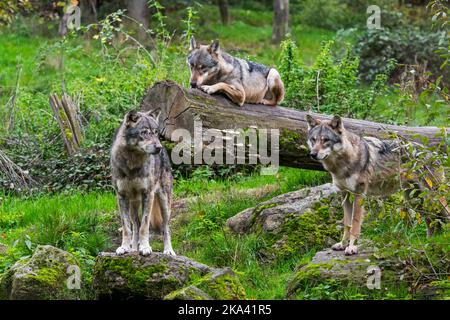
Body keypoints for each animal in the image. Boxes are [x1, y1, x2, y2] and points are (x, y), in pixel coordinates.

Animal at [110, 110, 176, 258]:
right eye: (144, 132)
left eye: (156, 132)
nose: (159, 147)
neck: (132, 163)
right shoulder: (121, 196)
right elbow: (127, 227)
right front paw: (124, 247)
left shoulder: (148, 194)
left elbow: (144, 226)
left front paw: (145, 247)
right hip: (133, 204)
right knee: (135, 224)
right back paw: (133, 249)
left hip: (164, 202)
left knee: (165, 227)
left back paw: (168, 251)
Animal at [304, 114, 448, 255]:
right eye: (313, 139)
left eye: (325, 140)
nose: (312, 154)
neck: (343, 164)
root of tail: (434, 153)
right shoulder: (345, 195)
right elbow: (346, 224)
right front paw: (343, 244)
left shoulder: (359, 194)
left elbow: (355, 224)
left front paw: (352, 247)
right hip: (415, 200)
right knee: (431, 220)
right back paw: (429, 243)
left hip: (432, 197)